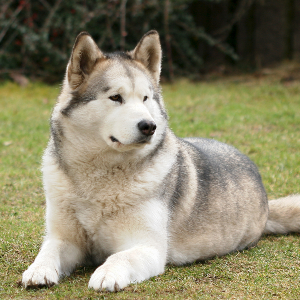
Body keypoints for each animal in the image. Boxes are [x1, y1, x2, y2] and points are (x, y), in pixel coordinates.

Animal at [22, 29, 300, 290]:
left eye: (145, 98)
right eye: (115, 97)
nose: (149, 126)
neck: (99, 178)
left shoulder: (148, 247)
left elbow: (119, 257)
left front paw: (107, 273)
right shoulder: (65, 239)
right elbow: (49, 250)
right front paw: (38, 270)